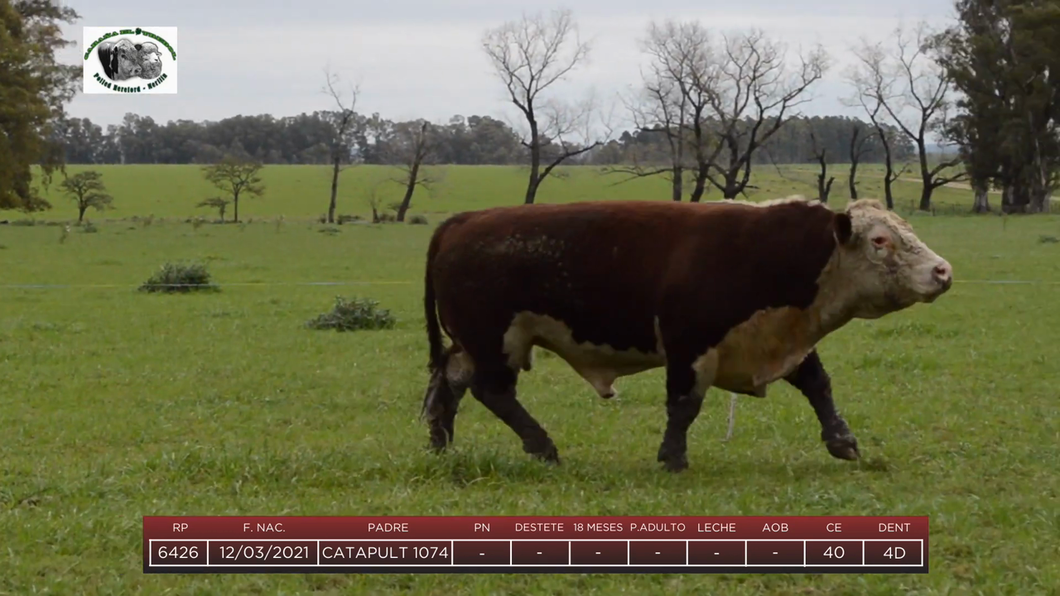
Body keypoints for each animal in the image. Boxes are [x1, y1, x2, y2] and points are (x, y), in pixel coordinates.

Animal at [417, 196, 958, 468]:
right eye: (881, 240)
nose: (943, 271)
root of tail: (465, 220)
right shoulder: (689, 344)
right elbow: (684, 404)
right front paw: (672, 457)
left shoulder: (782, 338)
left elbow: (818, 386)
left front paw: (842, 440)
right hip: (495, 340)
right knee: (492, 391)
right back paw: (541, 446)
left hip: (472, 343)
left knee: (450, 382)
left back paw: (442, 446)